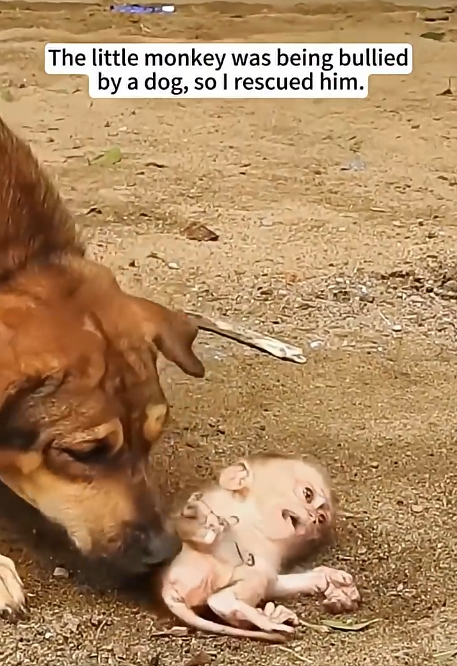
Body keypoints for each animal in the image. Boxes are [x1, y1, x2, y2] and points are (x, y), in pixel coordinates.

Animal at [161, 452, 361, 642]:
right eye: (308, 494)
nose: (313, 518)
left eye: (320, 519)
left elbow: (274, 583)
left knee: (249, 579)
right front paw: (205, 518)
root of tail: (168, 590)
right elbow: (181, 523)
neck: (257, 523)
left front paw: (328, 579)